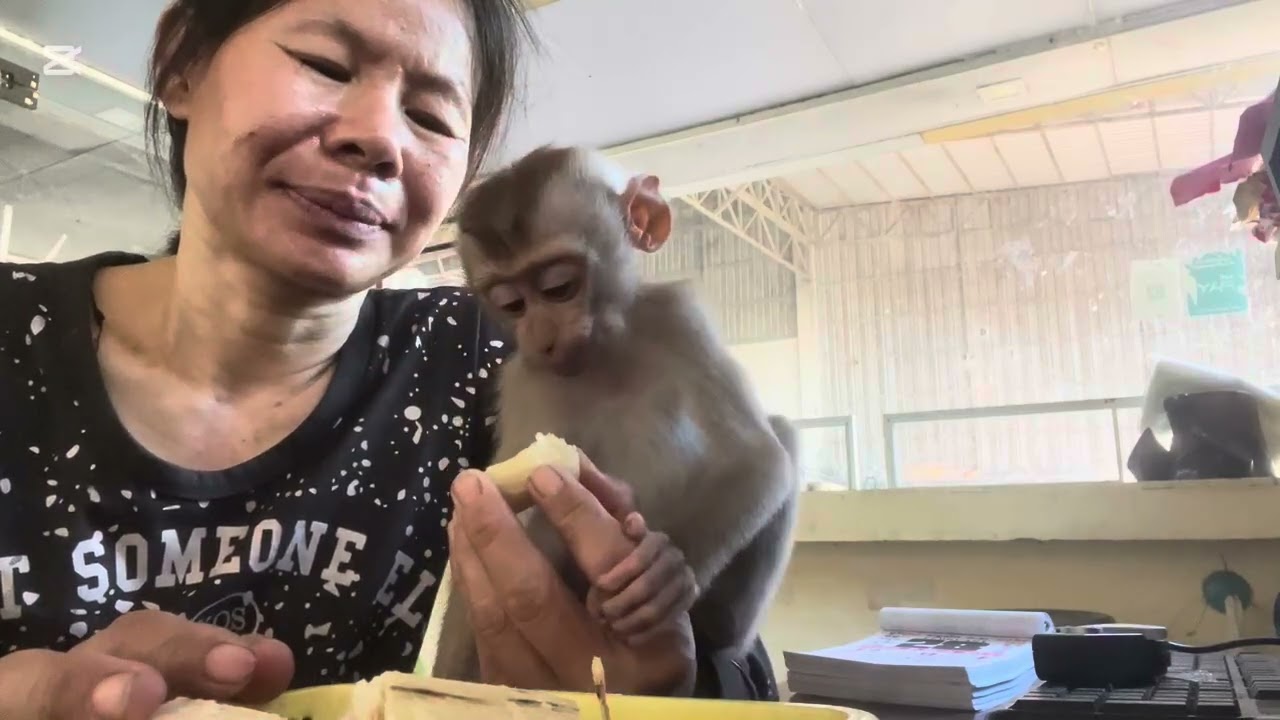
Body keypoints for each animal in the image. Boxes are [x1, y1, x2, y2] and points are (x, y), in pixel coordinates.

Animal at [425, 145, 800, 683]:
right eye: (511, 303)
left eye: (558, 287)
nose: (541, 335)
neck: (605, 352)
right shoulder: (524, 378)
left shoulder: (676, 316)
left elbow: (757, 459)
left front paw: (662, 574)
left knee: (782, 433)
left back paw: (718, 629)